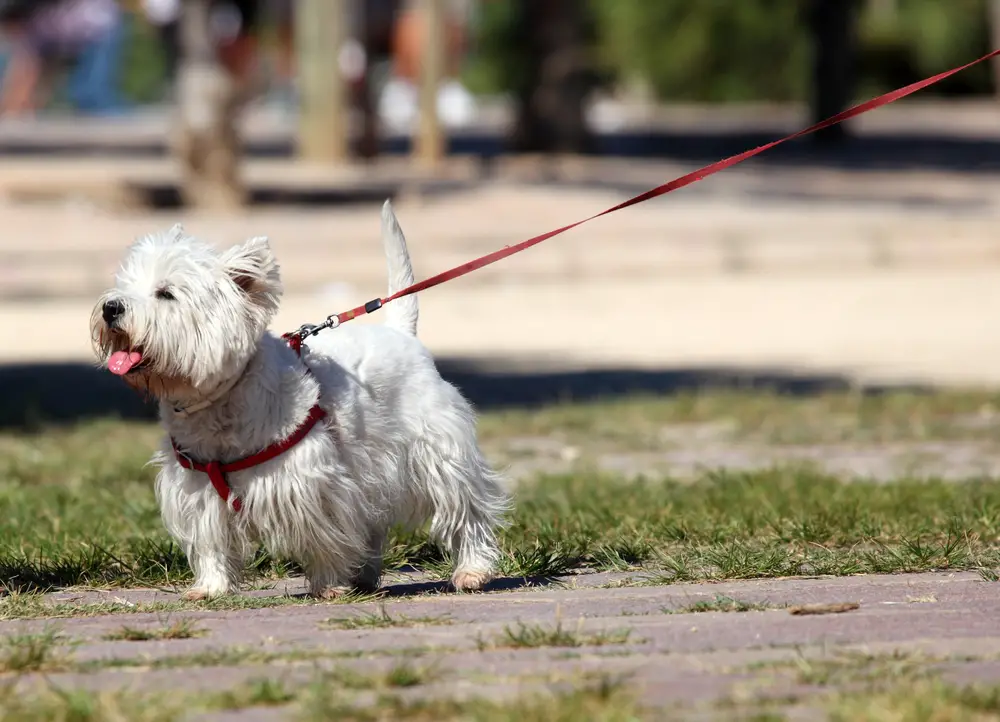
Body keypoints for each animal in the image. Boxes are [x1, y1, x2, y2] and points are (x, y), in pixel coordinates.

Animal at [91, 201, 512, 596]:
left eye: (166, 293)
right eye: (124, 285)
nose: (110, 307)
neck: (220, 403)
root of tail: (402, 333)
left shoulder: (314, 483)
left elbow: (326, 537)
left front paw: (330, 584)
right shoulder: (198, 490)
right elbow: (211, 541)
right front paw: (210, 588)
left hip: (438, 452)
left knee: (466, 509)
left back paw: (471, 571)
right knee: (375, 520)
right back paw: (366, 575)